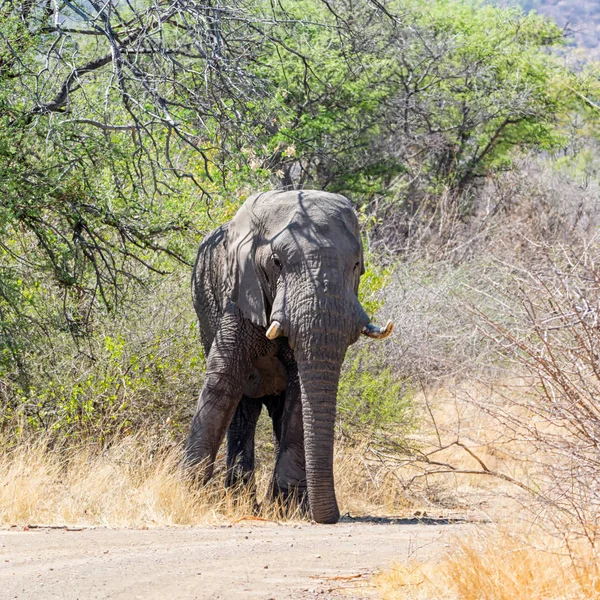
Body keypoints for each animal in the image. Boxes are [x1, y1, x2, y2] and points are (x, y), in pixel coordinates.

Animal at [185, 190, 392, 524]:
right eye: (277, 262)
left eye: (357, 266)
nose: (334, 516)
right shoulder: (240, 292)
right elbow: (223, 379)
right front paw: (186, 493)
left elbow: (299, 396)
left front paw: (289, 508)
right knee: (243, 410)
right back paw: (242, 503)